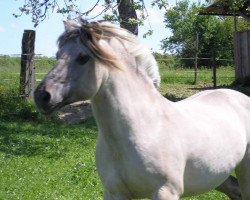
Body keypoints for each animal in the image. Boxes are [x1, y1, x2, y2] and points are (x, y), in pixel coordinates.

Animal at [34, 19, 250, 200]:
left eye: (83, 57)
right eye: (57, 56)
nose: (41, 96)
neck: (145, 128)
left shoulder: (165, 192)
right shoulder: (114, 193)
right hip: (218, 175)